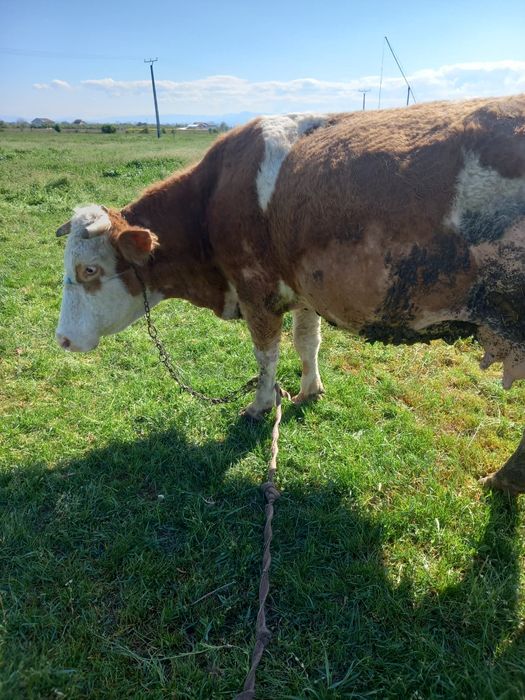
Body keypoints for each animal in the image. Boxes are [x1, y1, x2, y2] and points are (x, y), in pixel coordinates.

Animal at [55, 95, 525, 494]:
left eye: (89, 269)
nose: (61, 339)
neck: (210, 199)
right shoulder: (303, 290)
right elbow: (306, 343)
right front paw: (309, 390)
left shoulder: (255, 289)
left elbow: (266, 355)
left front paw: (260, 405)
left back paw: (503, 481)